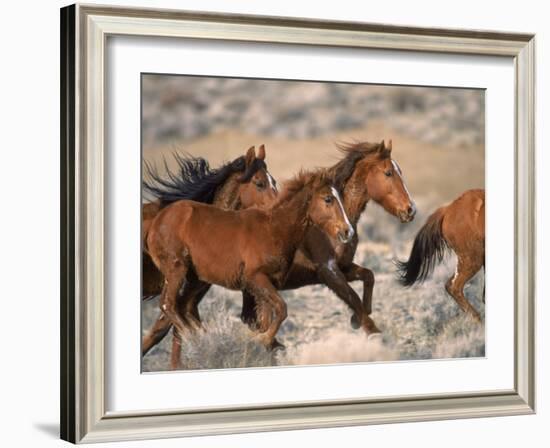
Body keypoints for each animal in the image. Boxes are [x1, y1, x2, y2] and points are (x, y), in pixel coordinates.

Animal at [144, 172, 356, 368]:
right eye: (328, 199)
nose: (348, 231)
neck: (273, 230)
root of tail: (157, 221)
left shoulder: (267, 286)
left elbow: (267, 319)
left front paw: (264, 345)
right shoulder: (256, 279)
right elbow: (281, 309)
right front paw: (261, 339)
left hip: (195, 278)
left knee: (181, 307)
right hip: (177, 270)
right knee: (169, 305)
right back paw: (200, 339)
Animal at [239, 140, 416, 336]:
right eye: (388, 173)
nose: (410, 210)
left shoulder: (343, 267)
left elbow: (368, 277)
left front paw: (356, 318)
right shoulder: (328, 271)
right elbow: (354, 300)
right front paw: (368, 329)